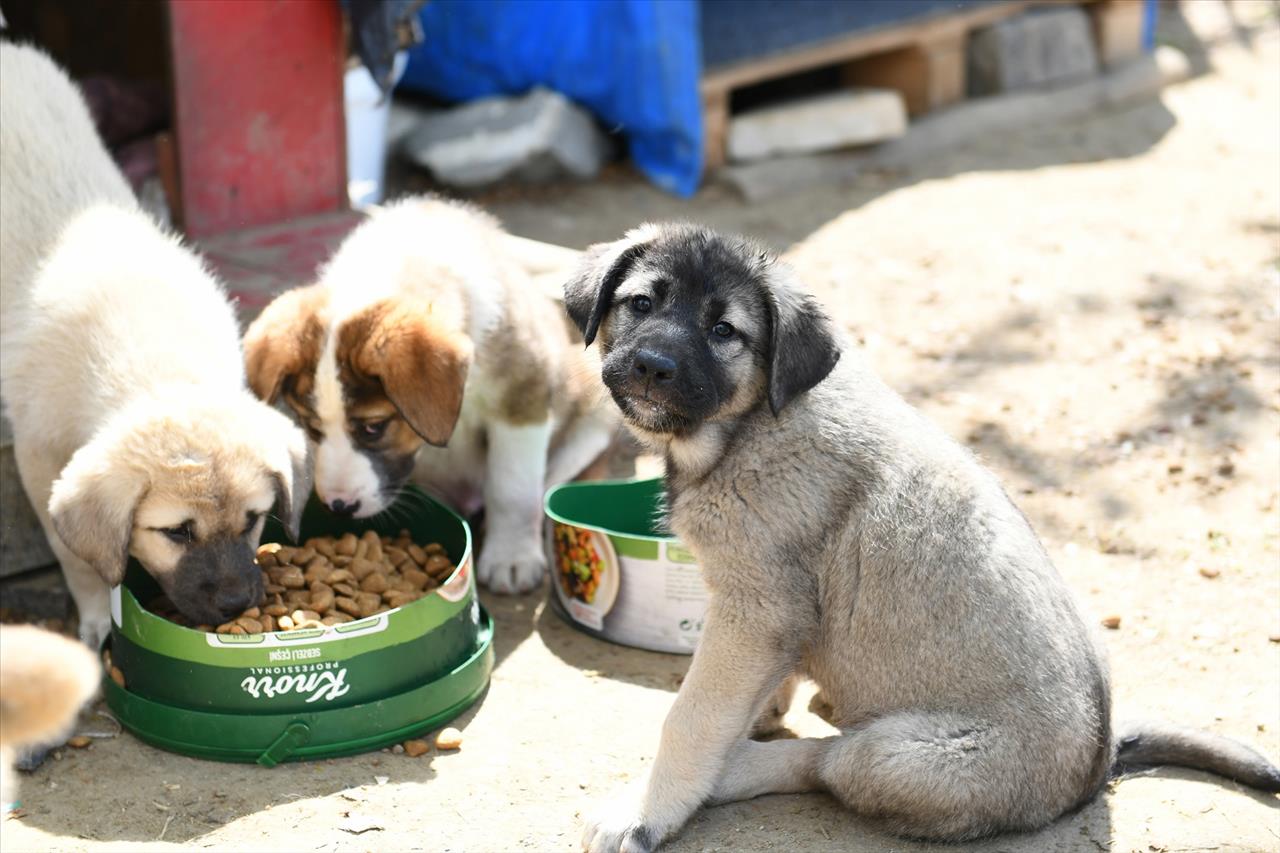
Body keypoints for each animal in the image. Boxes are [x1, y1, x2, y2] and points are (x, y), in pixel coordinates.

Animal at [0, 46, 309, 645]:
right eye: (177, 533)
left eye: (253, 521)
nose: (236, 605)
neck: (156, 365)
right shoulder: (38, 455)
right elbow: (77, 559)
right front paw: (97, 618)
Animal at [245, 195, 619, 591]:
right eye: (311, 428)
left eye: (374, 428)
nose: (339, 506)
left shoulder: (522, 399)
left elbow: (512, 489)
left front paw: (512, 557)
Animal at [568, 222, 1280, 845]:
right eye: (641, 304)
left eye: (724, 331)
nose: (652, 367)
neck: (749, 424)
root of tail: (1099, 765)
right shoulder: (772, 617)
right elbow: (753, 686)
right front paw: (764, 707)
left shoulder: (757, 607)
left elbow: (691, 719)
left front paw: (647, 813)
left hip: (898, 757)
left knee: (822, 764)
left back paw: (738, 768)